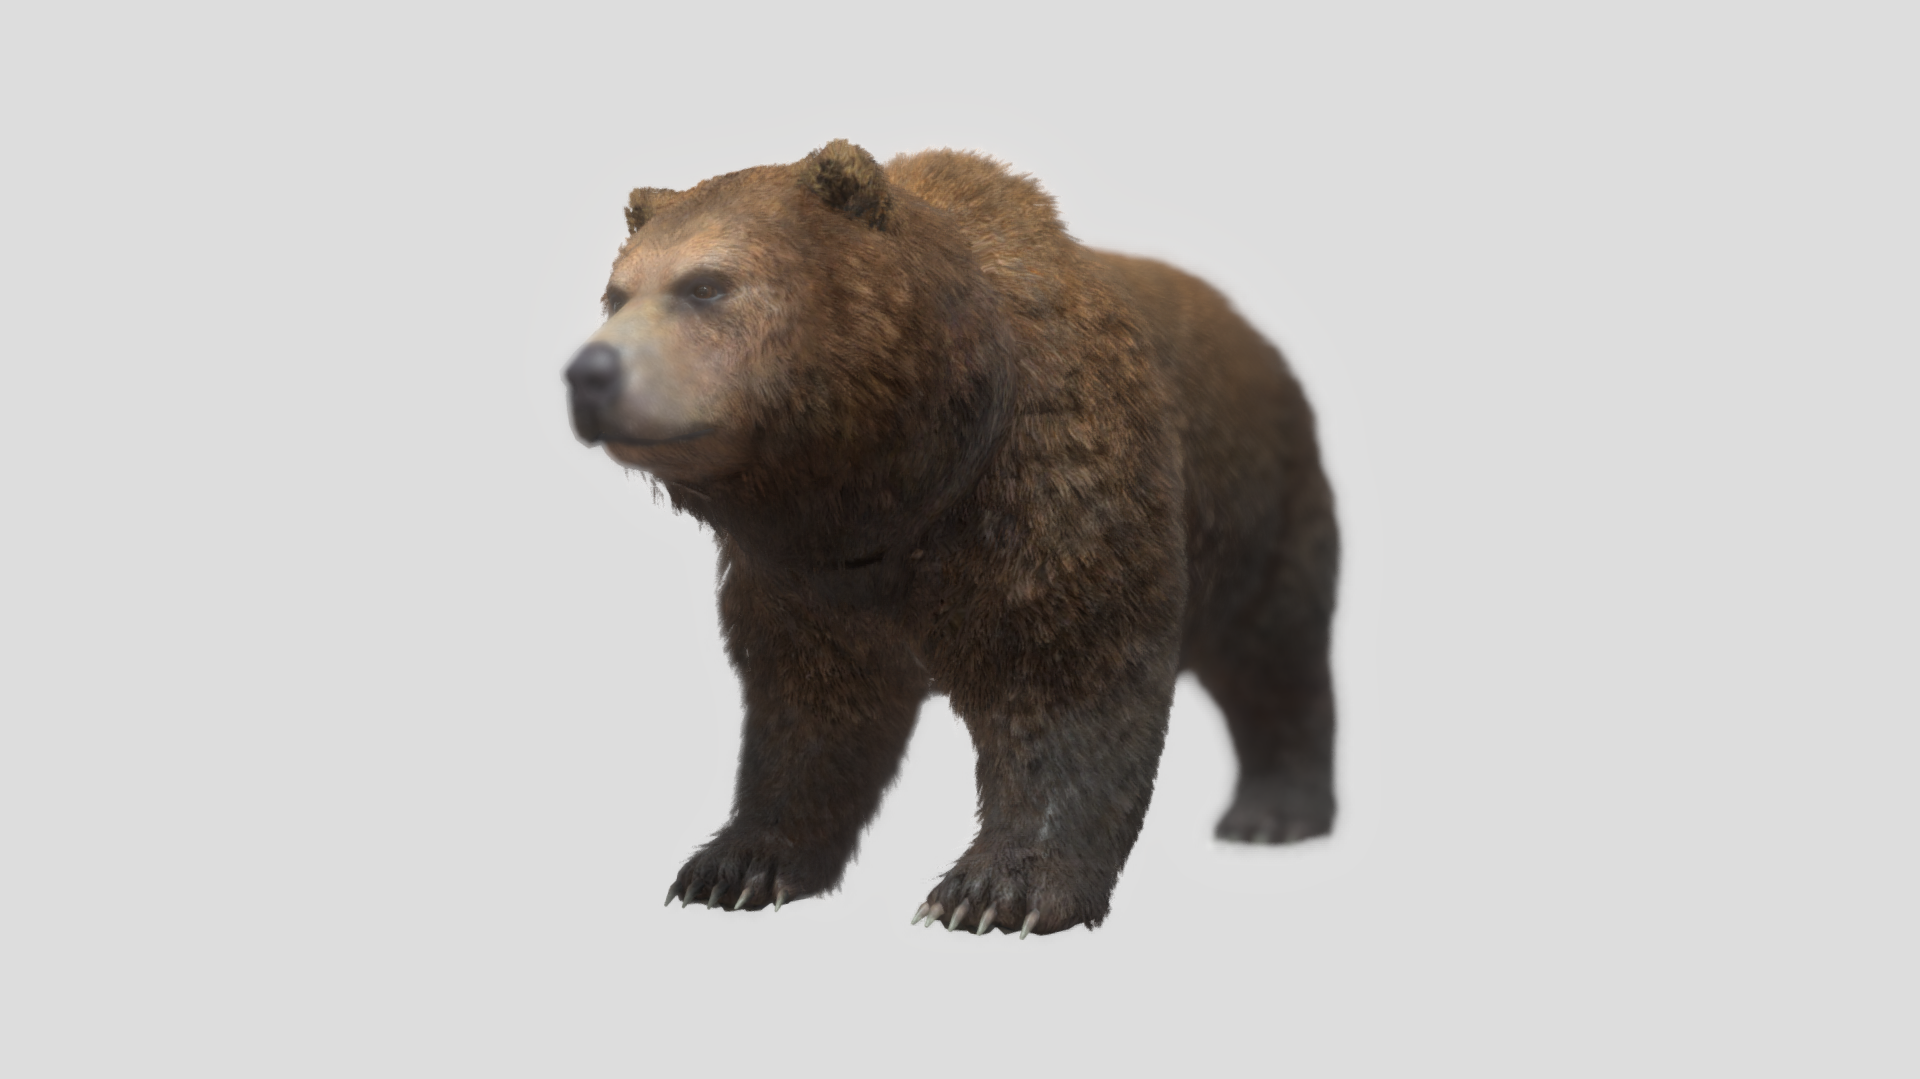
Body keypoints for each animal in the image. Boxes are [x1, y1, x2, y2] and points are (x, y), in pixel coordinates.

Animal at [564, 140, 1339, 936]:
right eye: (617, 294)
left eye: (706, 285)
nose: (590, 372)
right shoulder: (797, 572)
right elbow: (808, 707)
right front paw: (736, 866)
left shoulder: (1049, 490)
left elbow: (1069, 680)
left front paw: (996, 890)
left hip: (1261, 504)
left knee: (1275, 653)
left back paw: (1274, 811)